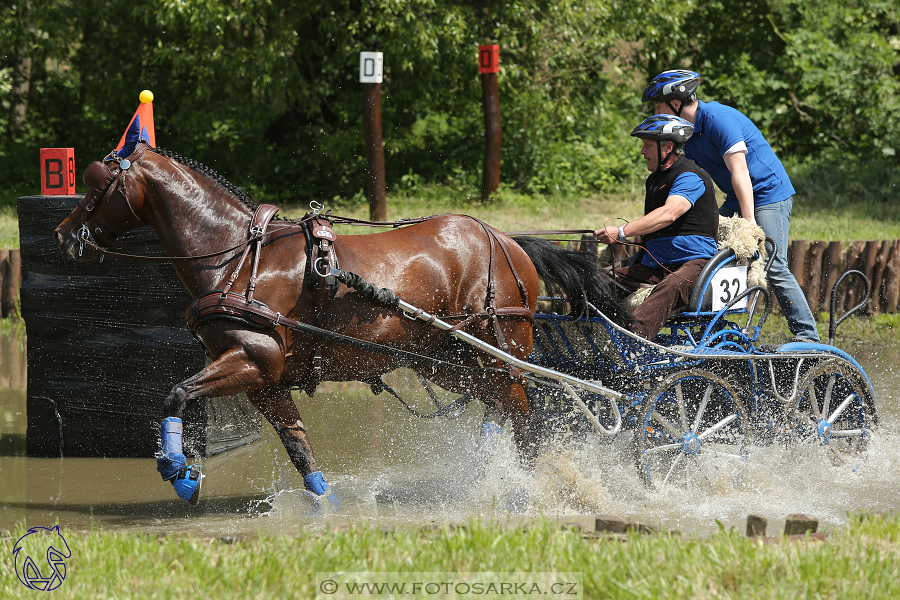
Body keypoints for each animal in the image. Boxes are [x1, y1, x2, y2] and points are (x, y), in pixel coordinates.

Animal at [56, 145, 548, 506]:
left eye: (96, 180)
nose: (62, 232)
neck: (236, 259)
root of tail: (506, 241)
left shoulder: (253, 359)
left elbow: (177, 394)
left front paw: (178, 471)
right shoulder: (265, 383)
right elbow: (299, 449)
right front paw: (325, 505)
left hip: (497, 353)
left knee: (524, 415)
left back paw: (525, 486)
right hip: (445, 362)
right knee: (500, 407)